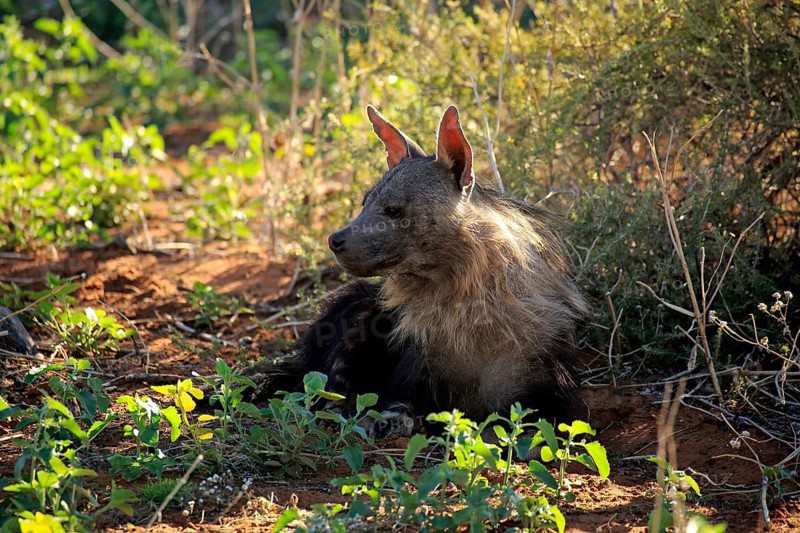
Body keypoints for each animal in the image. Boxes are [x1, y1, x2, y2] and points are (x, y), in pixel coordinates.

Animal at [270, 105, 589, 436]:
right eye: (364, 203)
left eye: (393, 210)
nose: (334, 239)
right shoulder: (412, 370)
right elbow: (397, 407)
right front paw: (388, 421)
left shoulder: (544, 389)